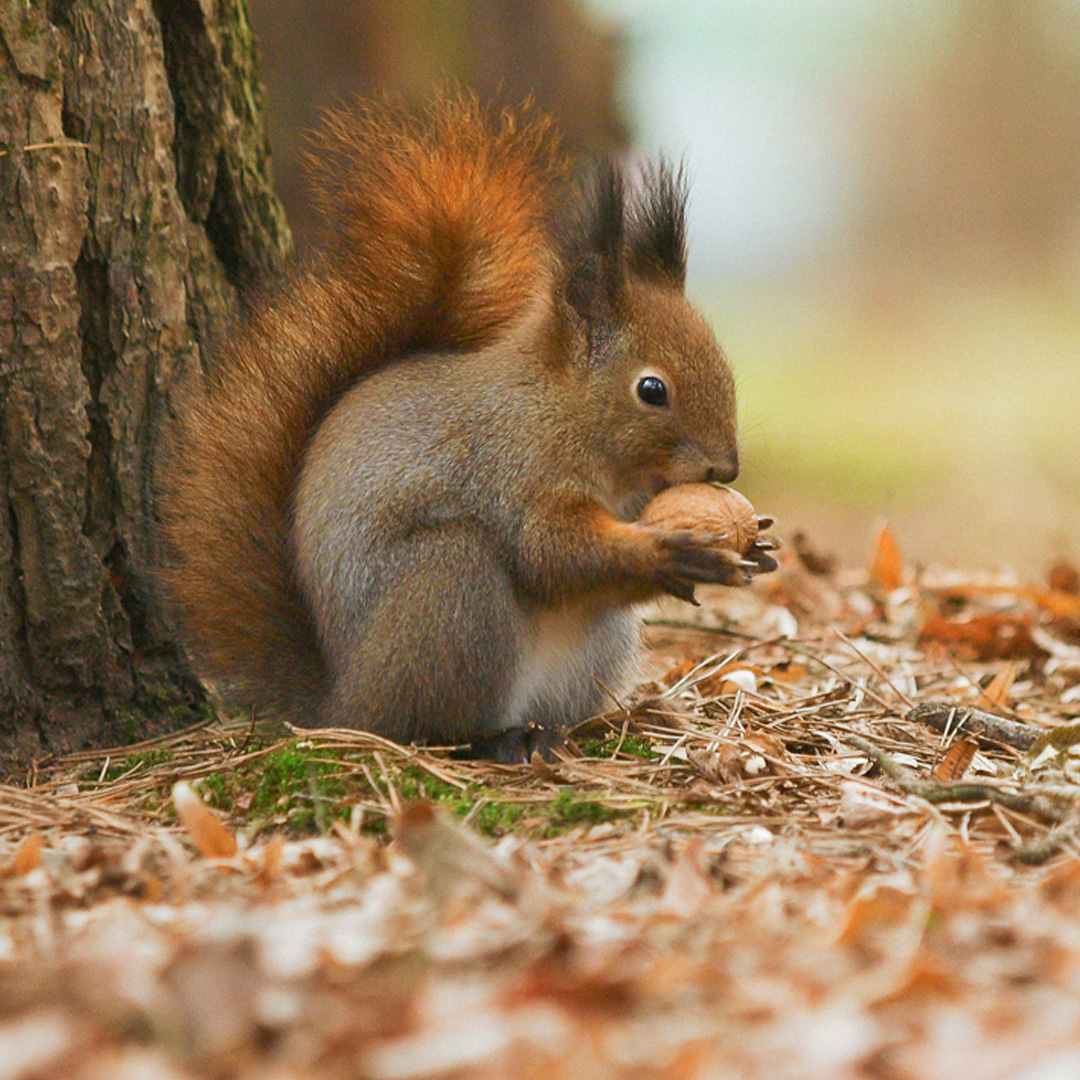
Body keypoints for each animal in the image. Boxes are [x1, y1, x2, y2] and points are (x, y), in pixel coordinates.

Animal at [160, 92, 778, 762]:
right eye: (652, 390)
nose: (727, 469)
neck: (561, 411)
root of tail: (339, 703)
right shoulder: (513, 468)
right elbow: (549, 552)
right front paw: (669, 551)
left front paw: (753, 546)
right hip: (450, 592)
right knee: (426, 719)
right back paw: (492, 740)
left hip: (588, 650)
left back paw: (549, 732)